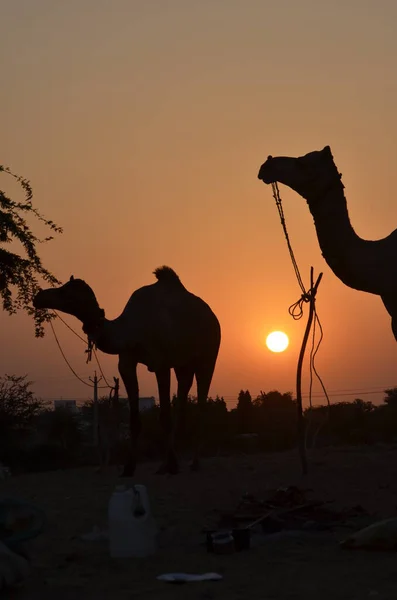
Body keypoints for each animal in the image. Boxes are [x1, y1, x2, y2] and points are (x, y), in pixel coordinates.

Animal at [32, 264, 221, 476]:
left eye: (64, 292)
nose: (39, 296)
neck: (131, 330)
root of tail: (213, 317)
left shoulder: (161, 363)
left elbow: (165, 416)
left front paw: (172, 466)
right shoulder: (126, 362)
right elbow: (134, 419)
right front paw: (129, 467)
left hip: (209, 355)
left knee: (201, 402)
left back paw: (194, 462)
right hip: (183, 363)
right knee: (183, 394)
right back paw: (168, 463)